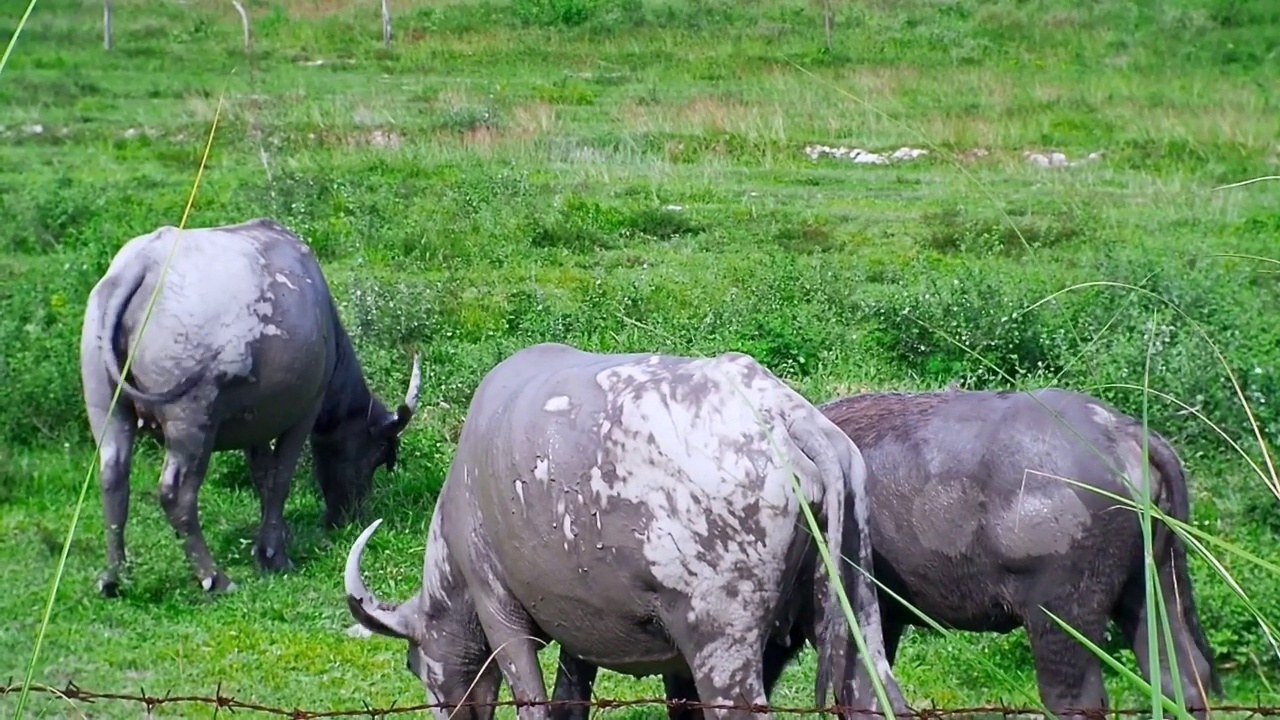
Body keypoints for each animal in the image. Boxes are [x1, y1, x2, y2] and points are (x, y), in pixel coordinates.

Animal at [78, 217, 419, 594]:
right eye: (376, 456)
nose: (349, 516)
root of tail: (141, 266)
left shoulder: (255, 424)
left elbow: (261, 475)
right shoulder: (304, 414)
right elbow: (280, 478)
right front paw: (274, 554)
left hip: (106, 407)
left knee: (113, 475)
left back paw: (113, 577)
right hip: (192, 420)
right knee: (175, 494)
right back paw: (214, 577)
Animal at [335, 340, 906, 717]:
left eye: (415, 663)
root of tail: (784, 415)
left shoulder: (499, 610)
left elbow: (533, 702)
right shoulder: (580, 633)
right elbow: (570, 702)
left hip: (724, 651)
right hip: (856, 611)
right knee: (876, 690)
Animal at [596, 386, 1218, 717]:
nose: (681, 696)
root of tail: (1123, 433)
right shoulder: (887, 619)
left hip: (1061, 619)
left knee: (1078, 696)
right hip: (1153, 590)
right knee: (1181, 679)